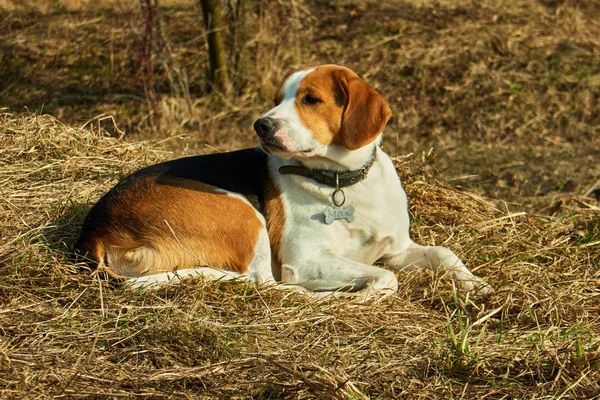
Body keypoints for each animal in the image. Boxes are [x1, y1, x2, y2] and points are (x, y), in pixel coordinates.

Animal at [75, 65, 494, 296]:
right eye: (277, 99)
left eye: (310, 99)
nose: (261, 125)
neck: (341, 181)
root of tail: (94, 231)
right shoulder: (307, 260)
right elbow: (386, 278)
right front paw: (360, 293)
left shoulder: (397, 248)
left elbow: (444, 254)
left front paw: (476, 285)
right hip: (243, 215)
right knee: (267, 285)